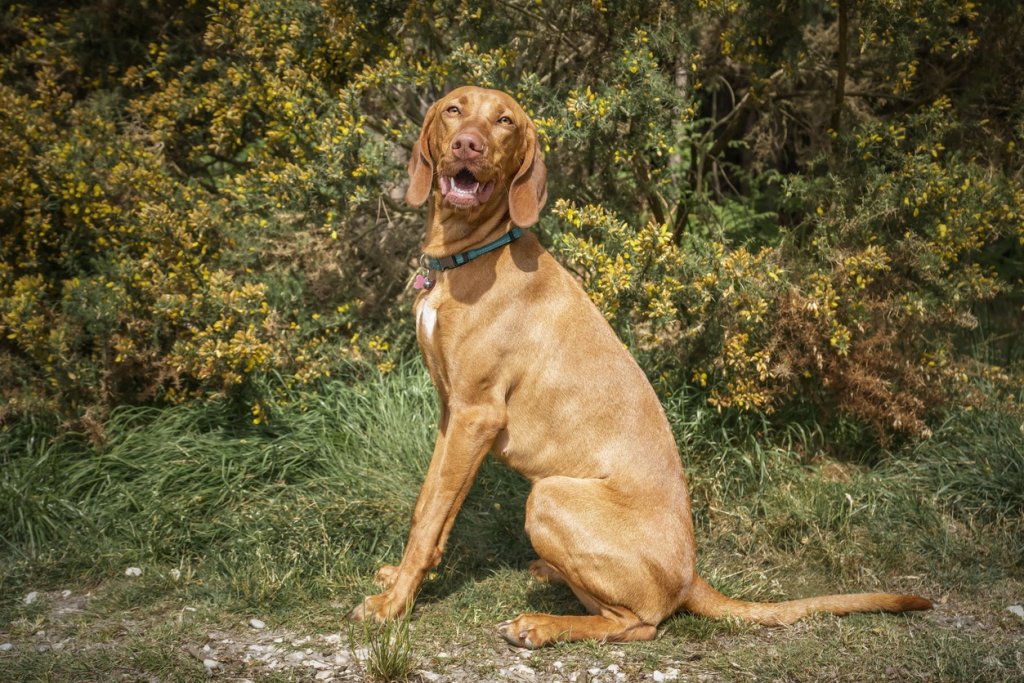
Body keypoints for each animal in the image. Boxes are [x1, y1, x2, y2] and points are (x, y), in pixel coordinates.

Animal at [348, 85, 933, 647]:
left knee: (638, 623)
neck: (469, 254)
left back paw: (541, 625)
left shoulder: (477, 413)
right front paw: (401, 581)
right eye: (454, 110)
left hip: (550, 495)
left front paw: (392, 606)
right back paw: (547, 577)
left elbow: (429, 520)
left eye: (504, 121)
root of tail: (691, 576)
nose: (468, 145)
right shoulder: (453, 413)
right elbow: (428, 507)